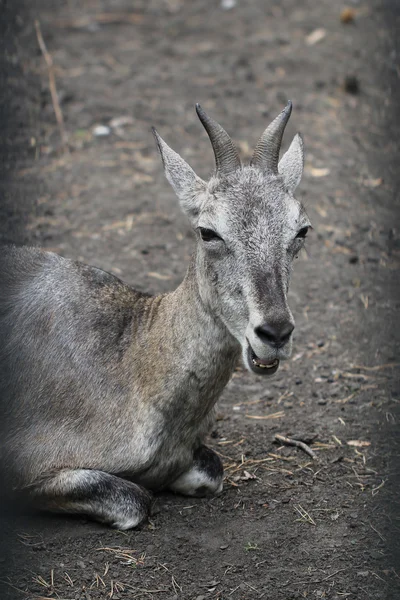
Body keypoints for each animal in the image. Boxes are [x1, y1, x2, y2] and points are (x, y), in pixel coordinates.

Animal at [0, 103, 310, 528]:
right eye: (208, 231)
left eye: (301, 230)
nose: (275, 333)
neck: (133, 361)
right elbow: (134, 500)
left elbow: (210, 471)